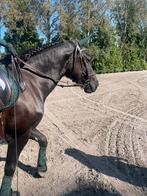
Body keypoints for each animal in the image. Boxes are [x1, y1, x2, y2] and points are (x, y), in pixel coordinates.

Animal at [0, 40, 99, 195]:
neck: (30, 84)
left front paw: (41, 169)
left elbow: (43, 140)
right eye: (87, 60)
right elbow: (10, 167)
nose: (95, 84)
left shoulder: (28, 129)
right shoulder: (19, 135)